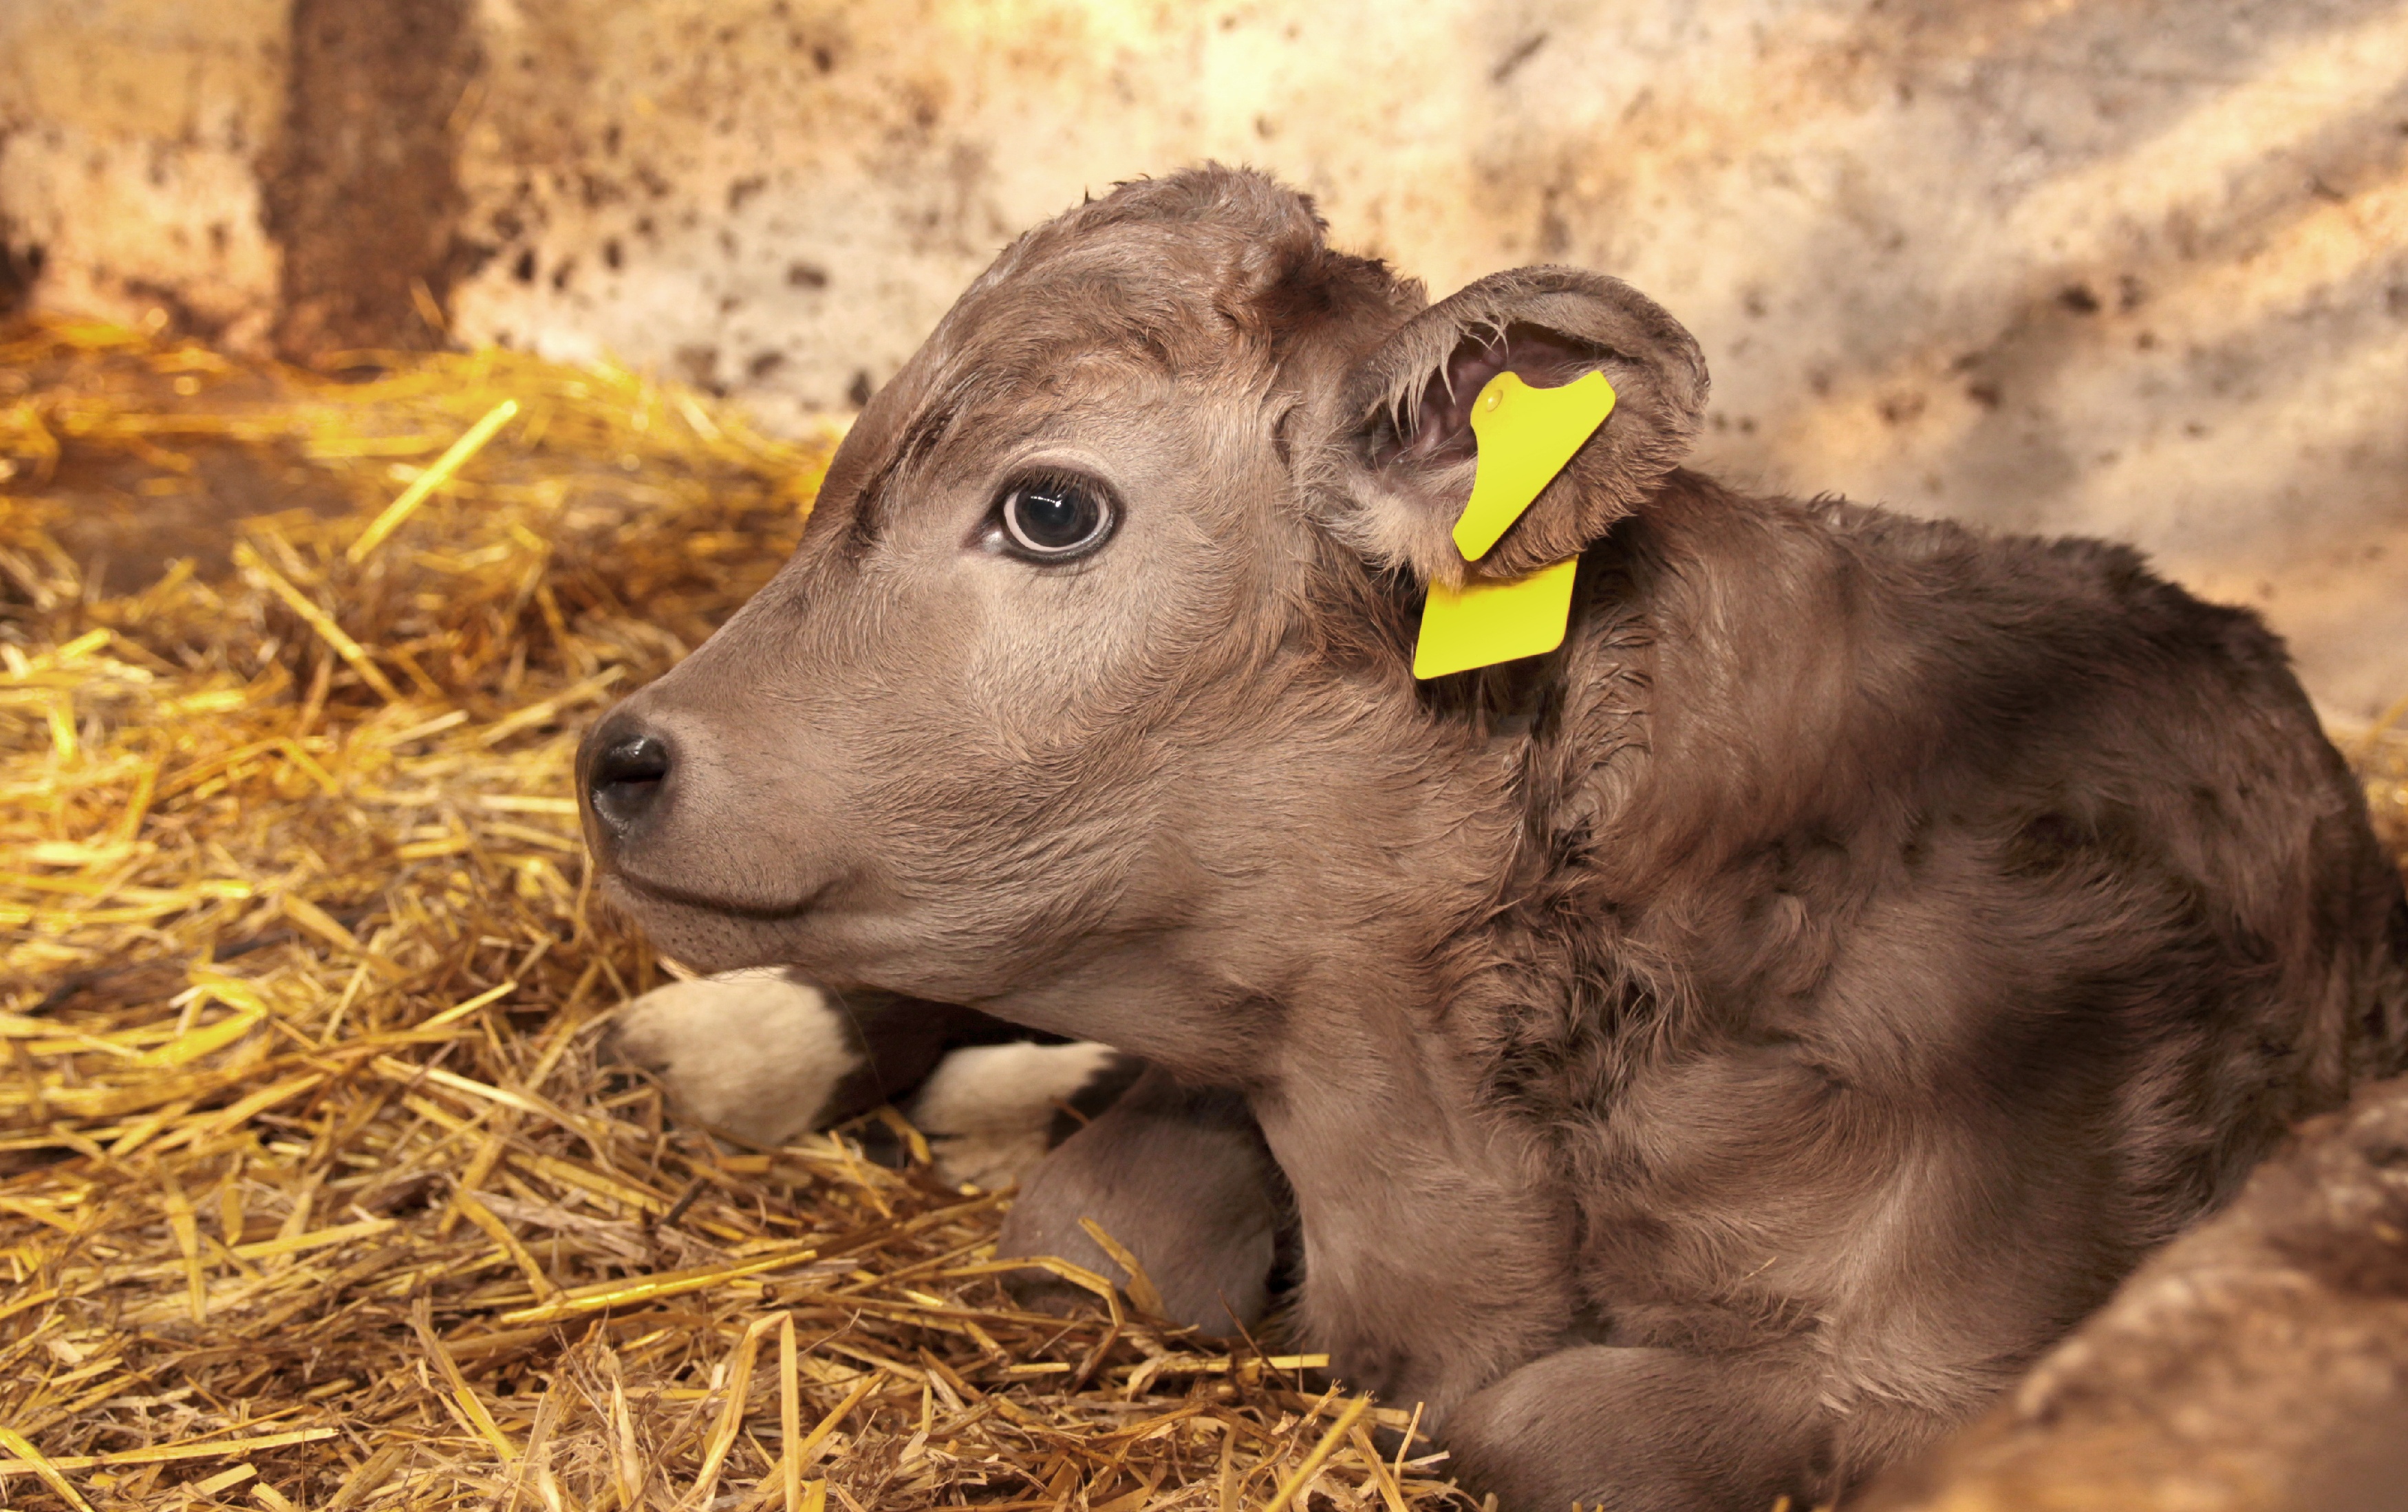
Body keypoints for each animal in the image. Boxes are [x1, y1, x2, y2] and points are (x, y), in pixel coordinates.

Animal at [583, 164, 2408, 1512]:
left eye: (1050, 508)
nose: (619, 756)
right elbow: (1095, 1233)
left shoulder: (1951, 1376)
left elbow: (1532, 1419)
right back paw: (722, 1046)